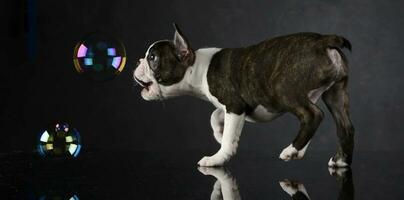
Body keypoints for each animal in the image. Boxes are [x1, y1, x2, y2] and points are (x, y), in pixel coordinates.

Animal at [133, 23, 354, 167]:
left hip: (284, 89)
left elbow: (228, 137)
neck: (198, 67)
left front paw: (218, 157)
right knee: (345, 127)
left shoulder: (234, 106)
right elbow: (214, 116)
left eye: (152, 58)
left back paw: (293, 150)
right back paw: (340, 161)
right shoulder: (234, 106)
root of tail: (323, 40)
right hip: (335, 94)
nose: (138, 61)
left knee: (313, 115)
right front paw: (219, 133)